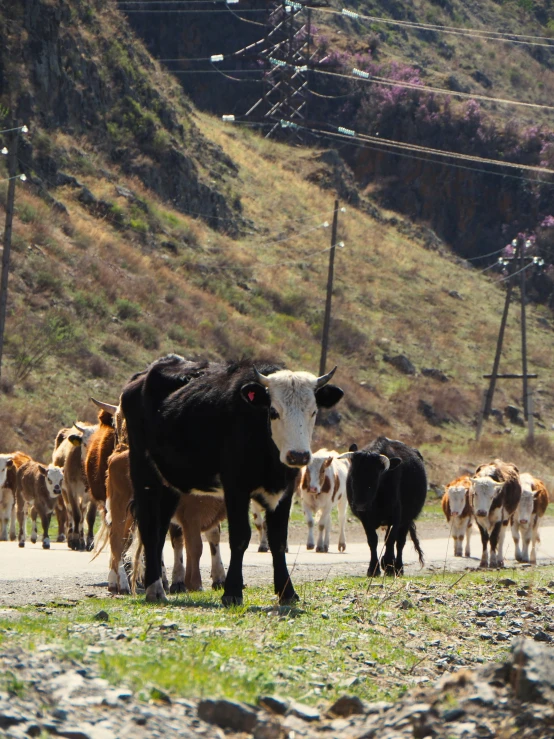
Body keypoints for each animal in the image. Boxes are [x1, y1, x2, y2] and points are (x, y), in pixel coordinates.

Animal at [120, 356, 340, 604]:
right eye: (274, 411)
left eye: (313, 412)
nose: (298, 455)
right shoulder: (236, 488)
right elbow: (240, 536)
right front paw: (232, 591)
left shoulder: (285, 490)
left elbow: (278, 540)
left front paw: (287, 592)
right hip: (143, 472)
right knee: (149, 527)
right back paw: (154, 589)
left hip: (169, 484)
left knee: (160, 529)